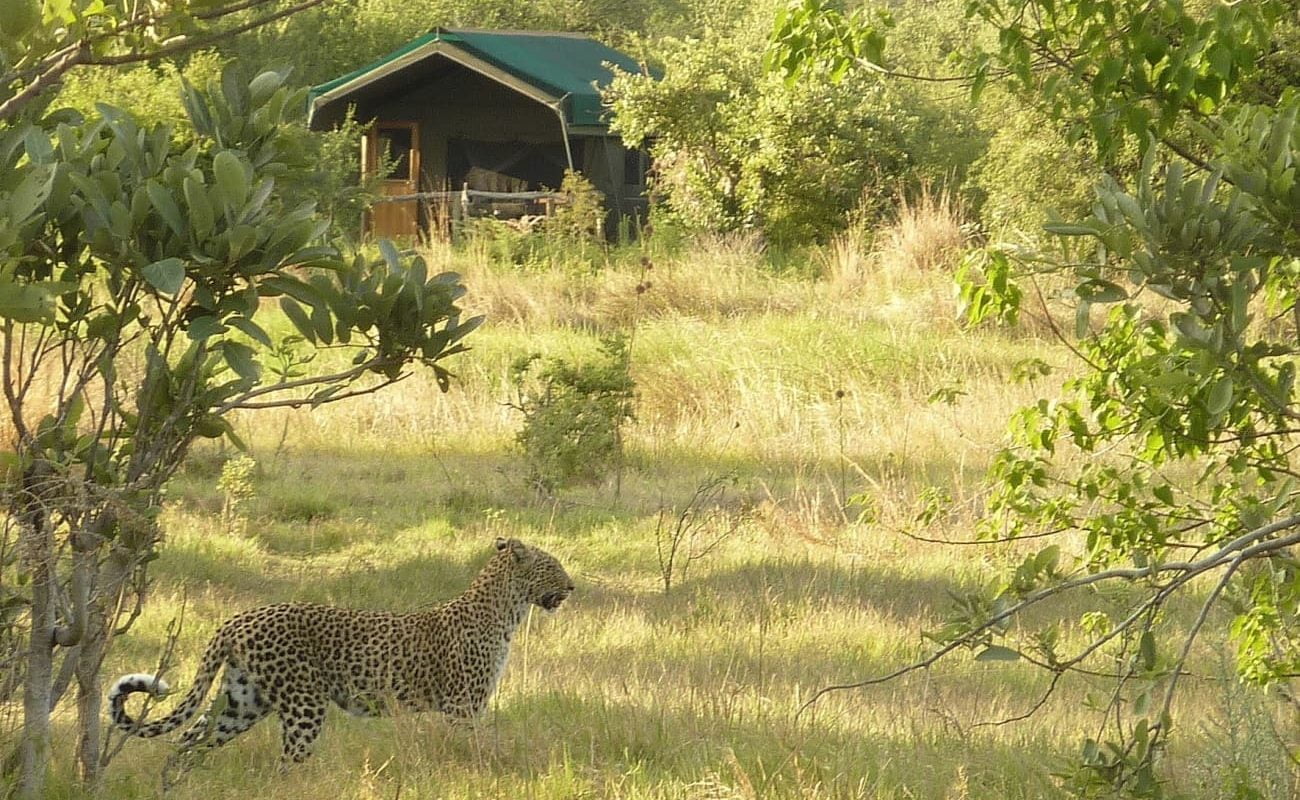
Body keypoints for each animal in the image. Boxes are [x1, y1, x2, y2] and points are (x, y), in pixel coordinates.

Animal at [107, 537, 573, 764]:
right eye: (552, 566)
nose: (571, 587)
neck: (508, 611)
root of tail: (239, 618)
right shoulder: (464, 707)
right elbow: (479, 750)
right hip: (304, 704)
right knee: (287, 764)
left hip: (243, 701)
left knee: (187, 742)